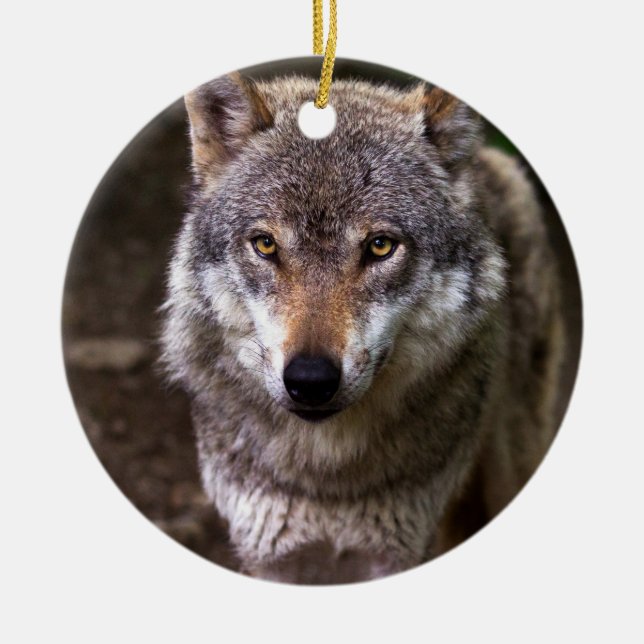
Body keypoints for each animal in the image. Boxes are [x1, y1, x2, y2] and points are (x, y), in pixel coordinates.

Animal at [161, 72, 565, 584]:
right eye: (266, 245)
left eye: (380, 246)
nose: (310, 380)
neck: (328, 480)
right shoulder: (270, 556)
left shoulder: (396, 552)